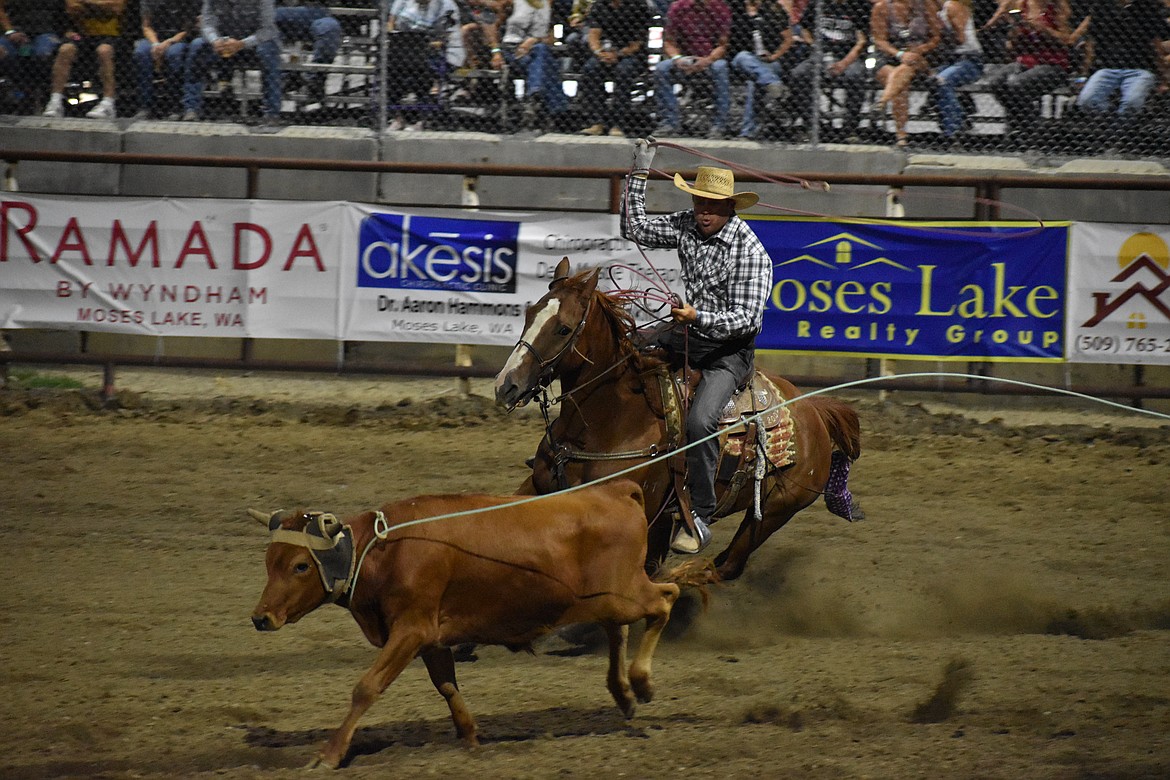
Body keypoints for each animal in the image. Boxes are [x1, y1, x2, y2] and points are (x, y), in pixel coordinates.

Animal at [493, 259, 861, 582]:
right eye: (529, 315)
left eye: (563, 328)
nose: (505, 386)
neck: (607, 423)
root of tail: (813, 408)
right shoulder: (539, 487)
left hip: (775, 511)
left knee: (726, 566)